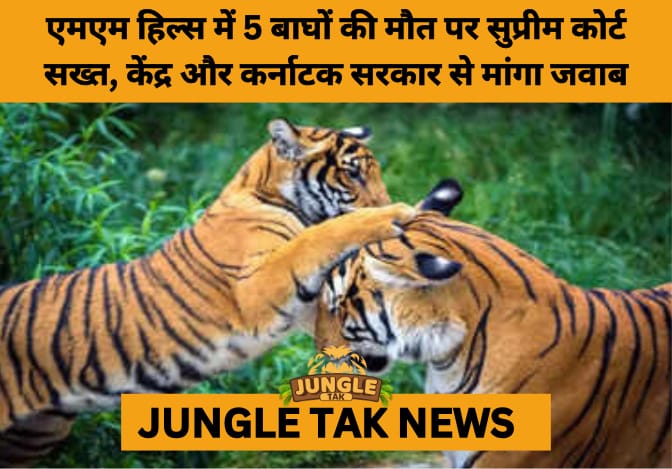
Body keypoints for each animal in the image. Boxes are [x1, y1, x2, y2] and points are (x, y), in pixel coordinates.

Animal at [0, 118, 416, 466]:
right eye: (352, 174)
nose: (384, 200)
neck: (267, 192)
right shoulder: (257, 288)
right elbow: (319, 237)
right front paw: (396, 214)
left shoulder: (302, 304)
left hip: (38, 430)